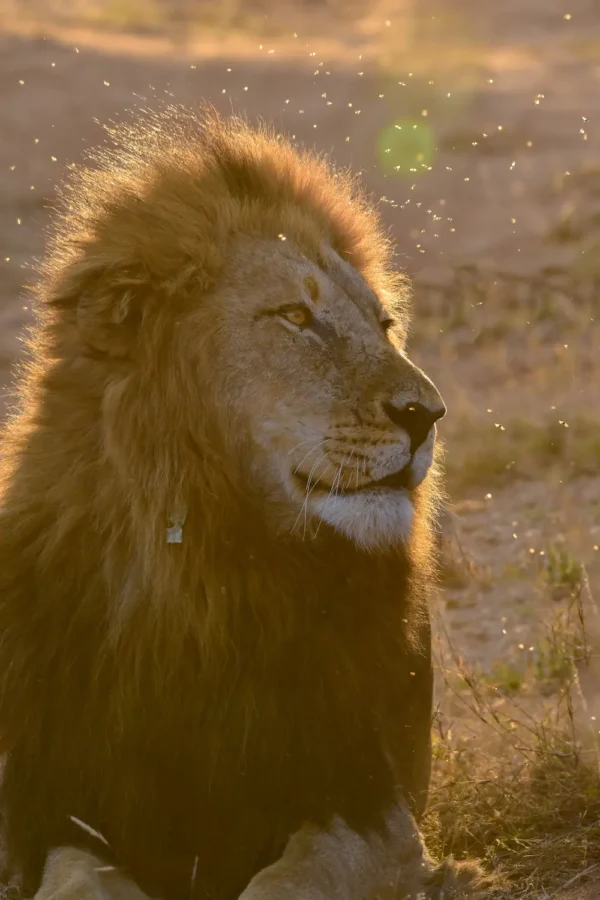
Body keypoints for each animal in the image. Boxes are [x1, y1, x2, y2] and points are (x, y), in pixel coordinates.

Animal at [0, 106, 481, 900]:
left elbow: (290, 882)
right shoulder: (50, 809)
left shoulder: (371, 805)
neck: (206, 578)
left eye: (382, 324)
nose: (428, 414)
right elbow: (81, 879)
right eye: (294, 317)